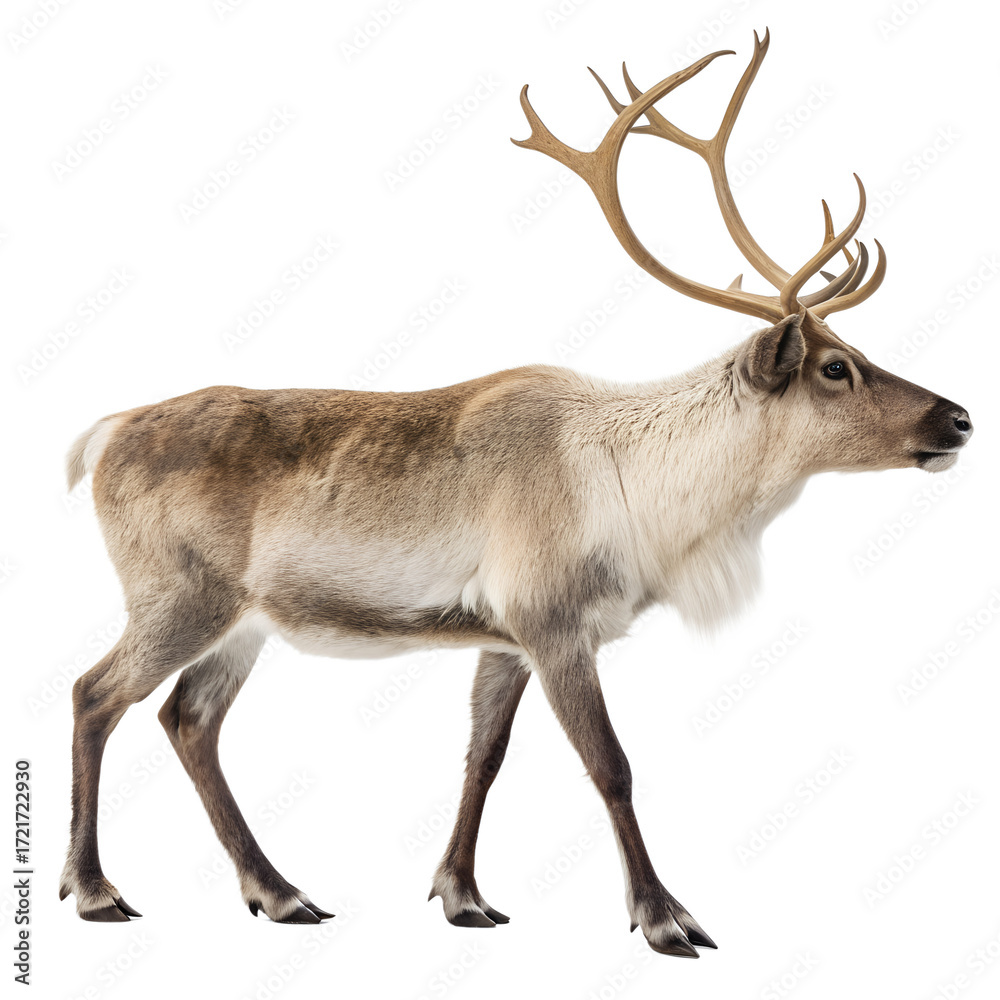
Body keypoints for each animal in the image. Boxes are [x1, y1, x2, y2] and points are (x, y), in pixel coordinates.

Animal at [59, 30, 972, 958]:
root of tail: (102, 434)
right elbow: (611, 765)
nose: (961, 417)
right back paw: (96, 891)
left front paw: (462, 895)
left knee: (188, 719)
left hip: (243, 622)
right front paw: (665, 917)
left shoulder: (502, 636)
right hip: (180, 593)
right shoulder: (553, 618)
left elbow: (483, 759)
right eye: (836, 368)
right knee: (95, 694)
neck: (648, 502)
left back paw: (280, 892)